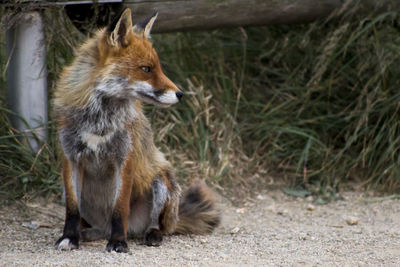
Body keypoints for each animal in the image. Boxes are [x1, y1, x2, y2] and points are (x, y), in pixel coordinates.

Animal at [52, 6, 220, 253]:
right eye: (146, 69)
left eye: (157, 68)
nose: (180, 94)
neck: (100, 118)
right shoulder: (70, 157)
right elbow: (72, 210)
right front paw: (69, 238)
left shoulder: (125, 158)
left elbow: (119, 208)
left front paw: (118, 242)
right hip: (68, 191)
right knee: (100, 226)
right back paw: (89, 233)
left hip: (162, 183)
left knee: (156, 226)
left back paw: (150, 235)